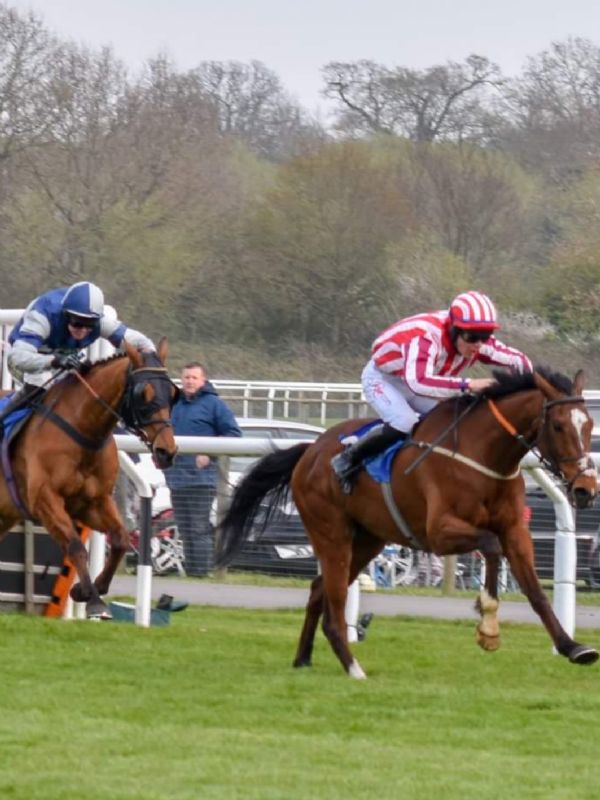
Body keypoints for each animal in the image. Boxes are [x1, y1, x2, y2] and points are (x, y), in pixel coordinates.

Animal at [0, 338, 178, 620]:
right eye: (143, 394)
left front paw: (91, 589)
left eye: (173, 394)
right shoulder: (44, 500)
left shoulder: (93, 502)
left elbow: (120, 540)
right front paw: (93, 600)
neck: (83, 433)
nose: (166, 451)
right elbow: (75, 546)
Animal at [217, 368, 600, 676]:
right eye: (558, 425)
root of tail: (309, 451)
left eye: (589, 424)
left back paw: (303, 658)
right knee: (335, 602)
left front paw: (572, 647)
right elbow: (490, 547)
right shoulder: (439, 532)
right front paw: (488, 625)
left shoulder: (515, 530)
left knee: (317, 590)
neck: (484, 455)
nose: (586, 488)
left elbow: (535, 591)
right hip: (331, 533)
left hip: (368, 539)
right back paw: (353, 667)